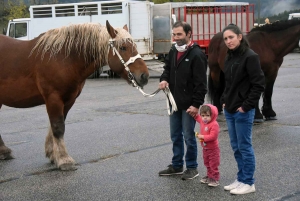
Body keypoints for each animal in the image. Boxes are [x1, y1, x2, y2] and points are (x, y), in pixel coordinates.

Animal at [0, 21, 149, 170]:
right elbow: (58, 127)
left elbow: (56, 126)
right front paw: (64, 159)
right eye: (123, 47)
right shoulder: (54, 98)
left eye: (135, 46)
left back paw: (4, 151)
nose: (144, 76)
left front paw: (52, 154)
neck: (62, 58)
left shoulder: (68, 100)